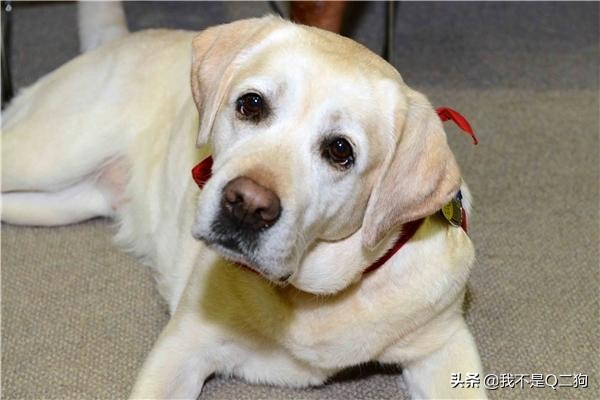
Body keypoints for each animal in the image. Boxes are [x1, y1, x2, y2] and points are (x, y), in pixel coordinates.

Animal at [1, 14, 488, 400]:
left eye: (340, 150)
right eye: (251, 104)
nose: (247, 205)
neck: (310, 298)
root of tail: (121, 40)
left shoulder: (444, 345)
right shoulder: (183, 346)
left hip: (60, 200)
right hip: (46, 155)